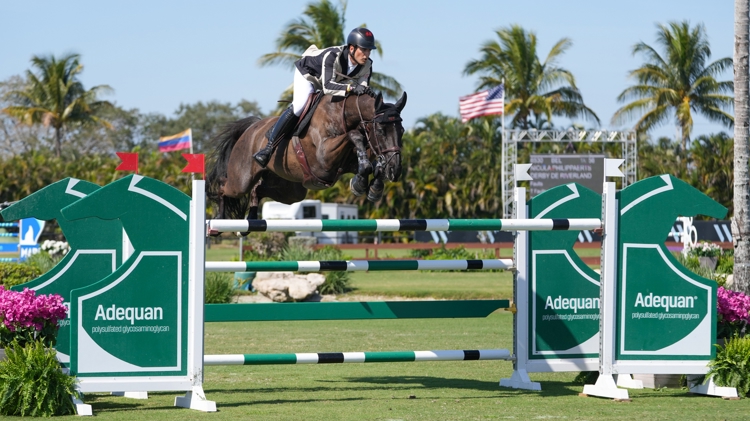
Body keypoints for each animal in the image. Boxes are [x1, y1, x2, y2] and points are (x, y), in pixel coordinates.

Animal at [206, 91, 408, 223]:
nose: (396, 170)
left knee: (258, 190)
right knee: (224, 185)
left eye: (402, 131)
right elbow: (354, 136)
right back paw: (218, 221)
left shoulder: (346, 164)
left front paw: (373, 187)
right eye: (380, 130)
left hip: (290, 190)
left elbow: (370, 164)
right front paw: (360, 184)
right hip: (241, 181)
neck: (341, 115)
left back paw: (252, 218)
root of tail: (251, 128)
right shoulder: (324, 159)